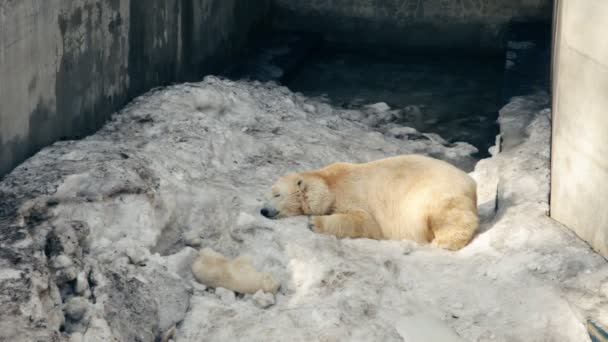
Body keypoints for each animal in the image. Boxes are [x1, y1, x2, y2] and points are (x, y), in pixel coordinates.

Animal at [262, 154, 480, 248]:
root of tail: (471, 183)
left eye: (277, 194)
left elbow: (363, 221)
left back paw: (443, 241)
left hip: (434, 194)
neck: (329, 183)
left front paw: (315, 222)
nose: (263, 211)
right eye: (268, 194)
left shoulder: (353, 194)